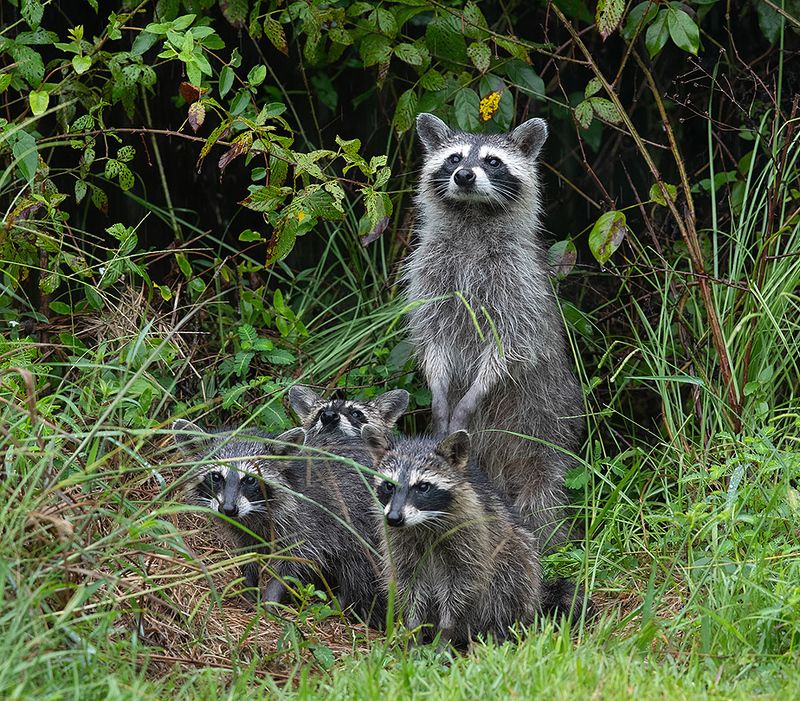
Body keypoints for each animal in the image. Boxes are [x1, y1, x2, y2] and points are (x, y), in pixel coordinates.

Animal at [172, 420, 385, 624]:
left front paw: (270, 599)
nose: (228, 509)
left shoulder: (307, 523)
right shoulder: (245, 530)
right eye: (216, 477)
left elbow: (292, 562)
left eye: (250, 480)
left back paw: (339, 605)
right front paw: (249, 589)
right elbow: (249, 555)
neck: (252, 514)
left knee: (358, 568)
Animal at [362, 426, 543, 648]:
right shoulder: (399, 546)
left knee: (508, 581)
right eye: (389, 485)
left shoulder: (471, 538)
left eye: (423, 487)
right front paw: (413, 631)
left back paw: (497, 631)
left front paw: (445, 634)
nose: (394, 518)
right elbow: (408, 585)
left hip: (516, 554)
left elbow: (461, 586)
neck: (423, 522)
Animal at [403, 113, 584, 548]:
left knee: (543, 487)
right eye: (454, 158)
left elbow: (510, 347)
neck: (473, 216)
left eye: (492, 161)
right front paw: (438, 388)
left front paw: (475, 393)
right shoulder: (430, 275)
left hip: (546, 422)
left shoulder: (519, 286)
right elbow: (433, 340)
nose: (465, 175)